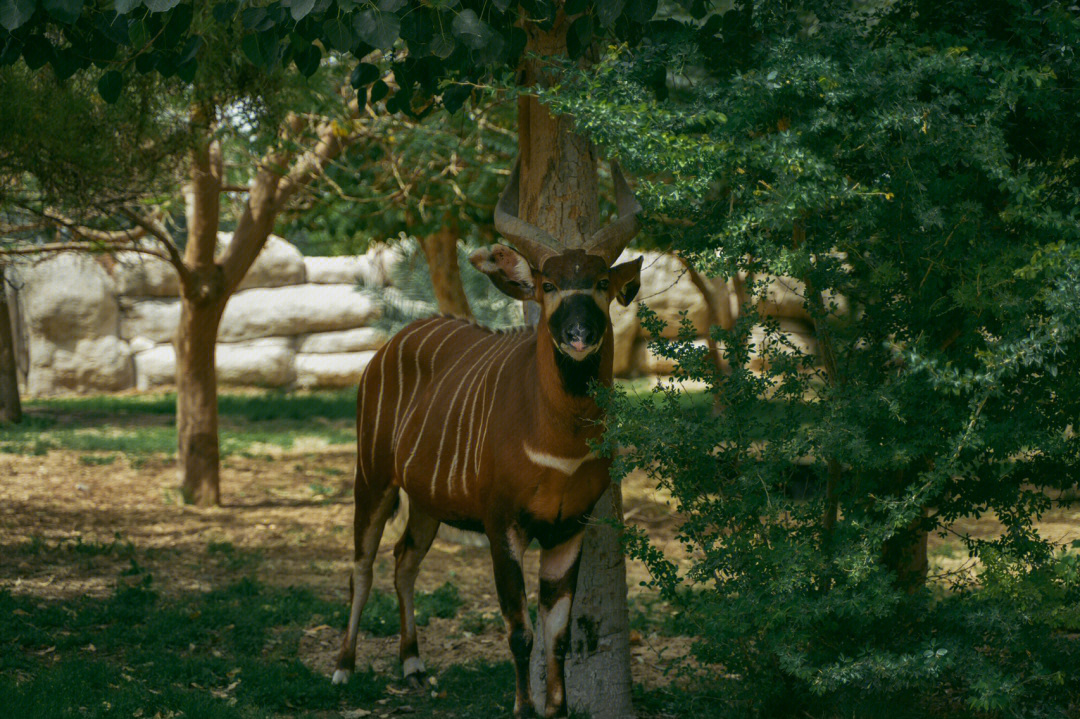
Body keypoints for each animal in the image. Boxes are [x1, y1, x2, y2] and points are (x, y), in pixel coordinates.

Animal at [332, 159, 639, 712]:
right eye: (547, 284)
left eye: (602, 282)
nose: (579, 336)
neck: (560, 446)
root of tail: (391, 344)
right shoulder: (503, 525)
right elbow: (520, 633)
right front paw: (523, 709)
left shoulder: (569, 529)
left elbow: (557, 636)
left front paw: (557, 709)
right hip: (372, 477)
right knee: (361, 565)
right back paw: (344, 668)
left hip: (428, 501)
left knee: (404, 559)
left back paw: (414, 666)